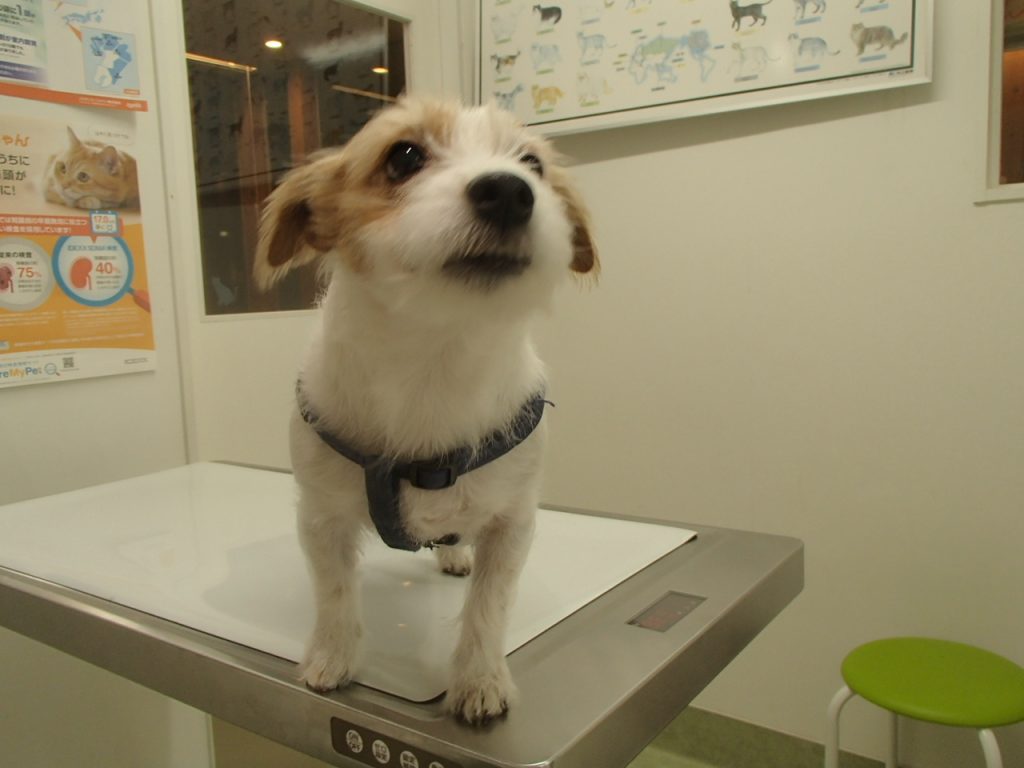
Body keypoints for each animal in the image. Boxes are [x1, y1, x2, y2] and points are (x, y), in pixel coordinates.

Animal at [254, 98, 597, 724]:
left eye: (532, 163)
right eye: (404, 156)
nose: (510, 191)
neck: (434, 360)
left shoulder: (513, 524)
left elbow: (490, 605)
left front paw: (480, 679)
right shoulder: (320, 517)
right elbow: (334, 594)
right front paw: (331, 658)